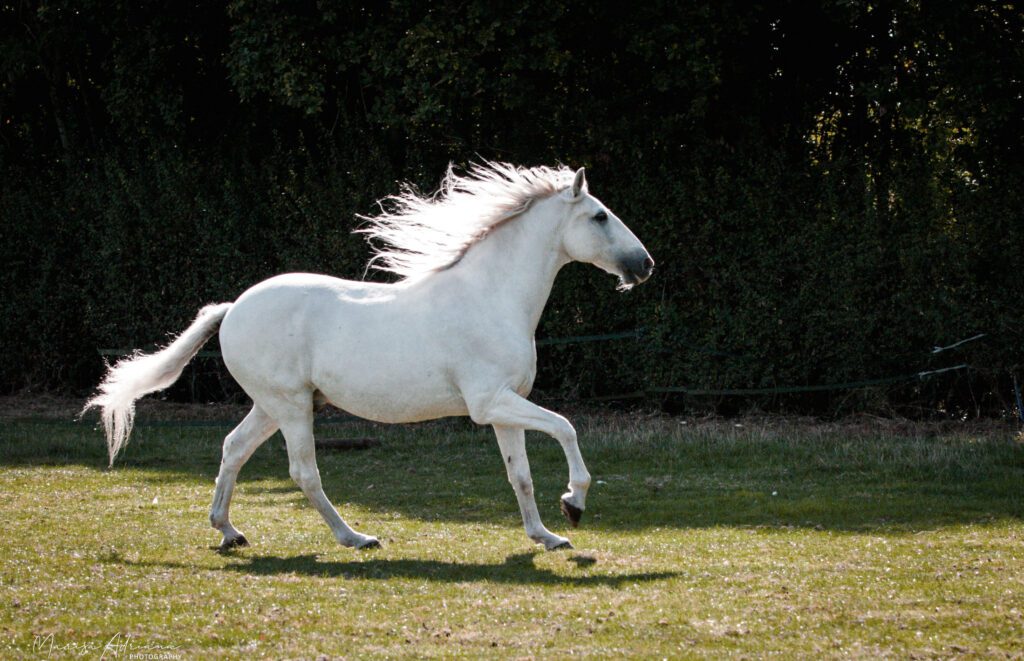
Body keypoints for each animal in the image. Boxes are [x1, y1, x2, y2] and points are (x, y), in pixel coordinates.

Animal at [83, 162, 651, 552]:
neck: (490, 296)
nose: (644, 264)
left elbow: (521, 475)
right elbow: (566, 428)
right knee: (303, 471)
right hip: (291, 406)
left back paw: (229, 532)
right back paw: (355, 537)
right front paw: (574, 505)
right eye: (599, 216)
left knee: (233, 449)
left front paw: (547, 536)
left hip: (271, 405)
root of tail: (232, 309)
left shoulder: (505, 407)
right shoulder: (491, 403)